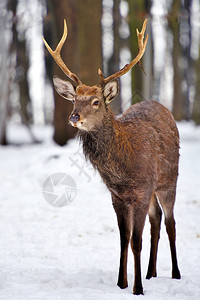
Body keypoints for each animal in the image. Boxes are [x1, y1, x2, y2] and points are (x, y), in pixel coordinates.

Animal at [43, 18, 181, 296]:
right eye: (74, 99)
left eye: (96, 101)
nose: (74, 117)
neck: (123, 169)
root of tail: (162, 106)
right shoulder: (117, 196)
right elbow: (123, 239)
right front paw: (122, 283)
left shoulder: (141, 191)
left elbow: (136, 241)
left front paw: (137, 289)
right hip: (153, 190)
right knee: (157, 219)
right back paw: (151, 273)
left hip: (168, 180)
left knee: (171, 222)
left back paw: (174, 273)